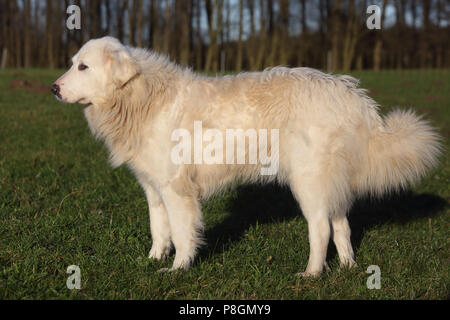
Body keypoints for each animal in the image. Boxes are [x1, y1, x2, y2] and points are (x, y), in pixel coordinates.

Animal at [51, 37, 440, 276]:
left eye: (83, 67)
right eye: (72, 64)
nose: (53, 88)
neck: (141, 96)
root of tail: (345, 91)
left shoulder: (177, 190)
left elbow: (181, 233)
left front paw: (177, 270)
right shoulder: (153, 188)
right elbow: (158, 229)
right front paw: (152, 260)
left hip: (308, 181)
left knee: (320, 227)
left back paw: (312, 273)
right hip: (330, 179)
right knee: (341, 223)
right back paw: (346, 267)